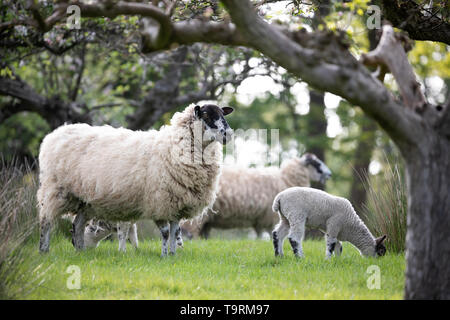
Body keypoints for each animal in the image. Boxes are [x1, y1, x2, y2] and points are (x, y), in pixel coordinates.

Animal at [37, 104, 234, 256]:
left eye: (223, 114)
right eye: (206, 114)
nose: (227, 134)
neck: (174, 144)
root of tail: (55, 133)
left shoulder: (176, 203)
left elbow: (175, 231)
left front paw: (172, 254)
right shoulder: (159, 201)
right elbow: (165, 233)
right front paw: (164, 255)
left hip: (84, 200)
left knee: (77, 224)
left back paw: (80, 251)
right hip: (56, 189)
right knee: (46, 220)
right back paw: (44, 250)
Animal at [179, 154, 330, 239]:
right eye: (316, 163)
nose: (329, 174)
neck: (284, 179)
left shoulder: (260, 219)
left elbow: (259, 235)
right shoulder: (270, 217)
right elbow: (270, 233)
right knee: (189, 233)